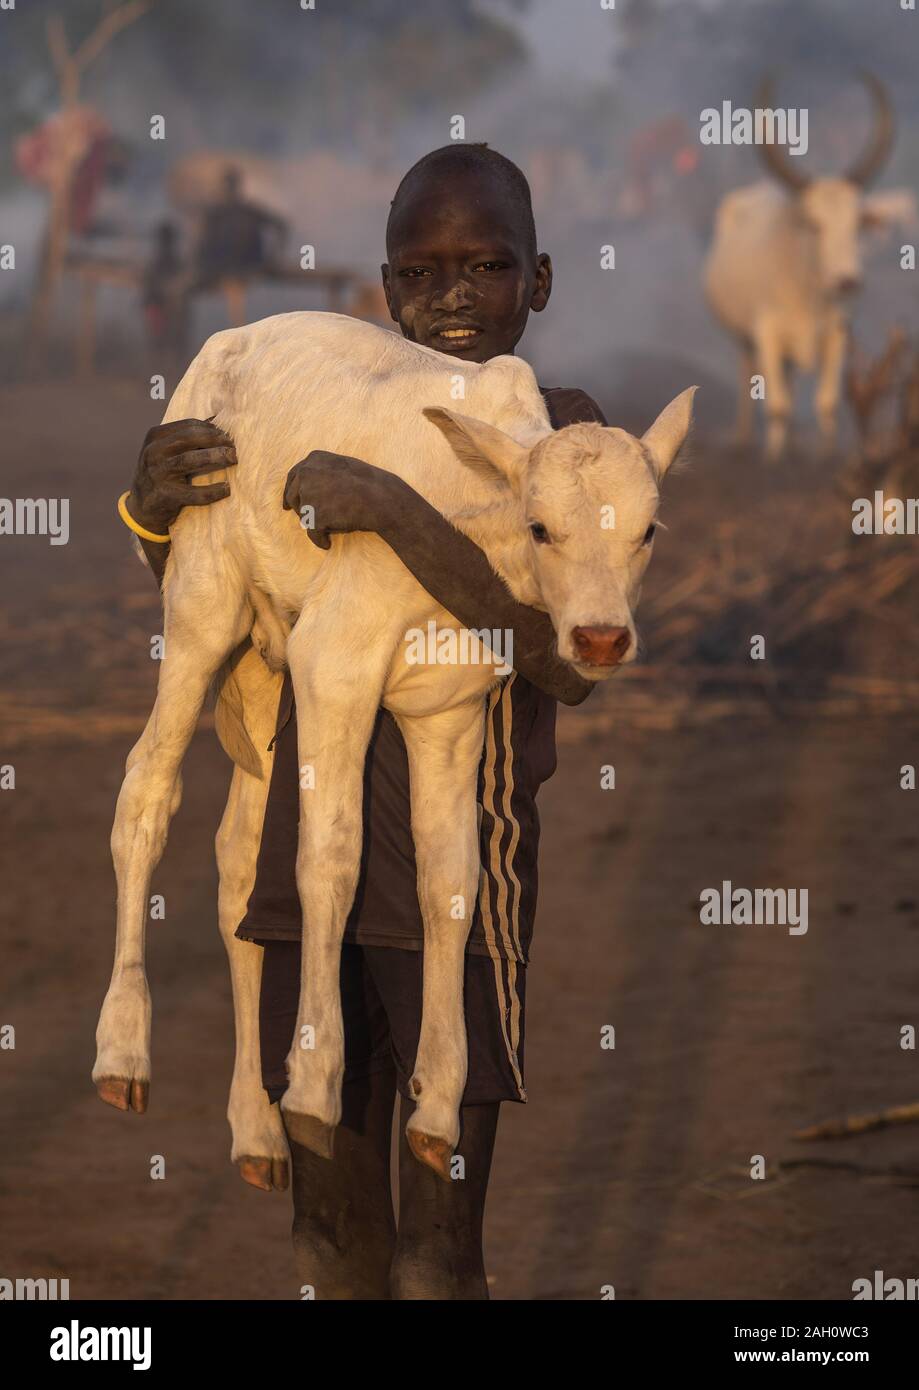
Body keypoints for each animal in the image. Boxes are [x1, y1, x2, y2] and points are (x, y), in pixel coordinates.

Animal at [93, 309, 695, 1178]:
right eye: (541, 528)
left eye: (646, 532)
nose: (601, 638)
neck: (470, 517)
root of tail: (231, 340)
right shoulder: (332, 662)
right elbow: (331, 859)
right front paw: (313, 1087)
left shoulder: (452, 709)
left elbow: (450, 882)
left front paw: (438, 1105)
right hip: (205, 598)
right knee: (147, 790)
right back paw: (124, 1053)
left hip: (264, 669)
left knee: (238, 860)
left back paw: (254, 1131)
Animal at [703, 77, 912, 455]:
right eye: (814, 224)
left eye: (857, 223)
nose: (847, 281)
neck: (808, 291)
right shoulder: (767, 333)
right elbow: (778, 406)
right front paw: (774, 458)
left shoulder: (838, 334)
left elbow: (826, 403)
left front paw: (824, 454)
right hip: (744, 339)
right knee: (748, 376)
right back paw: (744, 438)